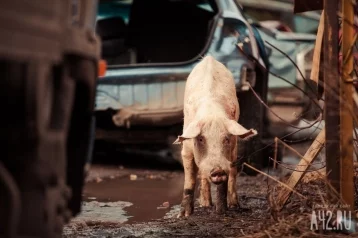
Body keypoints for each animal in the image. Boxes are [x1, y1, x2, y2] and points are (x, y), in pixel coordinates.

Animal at [173, 54, 258, 217]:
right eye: (200, 139)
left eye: (226, 138)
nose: (217, 170)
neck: (211, 112)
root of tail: (209, 58)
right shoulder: (186, 148)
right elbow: (190, 180)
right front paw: (184, 215)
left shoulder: (231, 148)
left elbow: (226, 179)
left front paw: (221, 211)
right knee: (202, 175)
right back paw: (206, 204)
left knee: (232, 173)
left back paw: (233, 205)